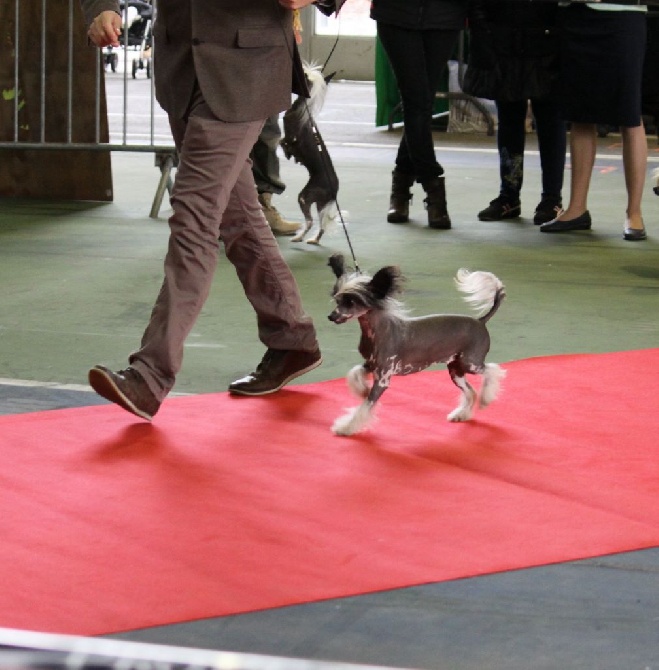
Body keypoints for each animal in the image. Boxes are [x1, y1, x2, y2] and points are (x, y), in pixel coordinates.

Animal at [282, 63, 340, 245]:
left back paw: (298, 237)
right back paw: (313, 240)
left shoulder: (290, 138)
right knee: (321, 225)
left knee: (309, 221)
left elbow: (283, 142)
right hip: (321, 204)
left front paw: (289, 154)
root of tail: (334, 190)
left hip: (305, 196)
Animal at [328, 255, 508, 438]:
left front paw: (346, 427)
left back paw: (486, 398)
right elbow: (353, 373)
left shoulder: (383, 379)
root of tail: (480, 321)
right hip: (455, 370)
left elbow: (366, 405)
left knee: (492, 369)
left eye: (351, 301)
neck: (378, 331)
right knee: (470, 392)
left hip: (470, 363)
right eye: (337, 299)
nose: (331, 316)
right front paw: (361, 389)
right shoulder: (370, 365)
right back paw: (461, 414)